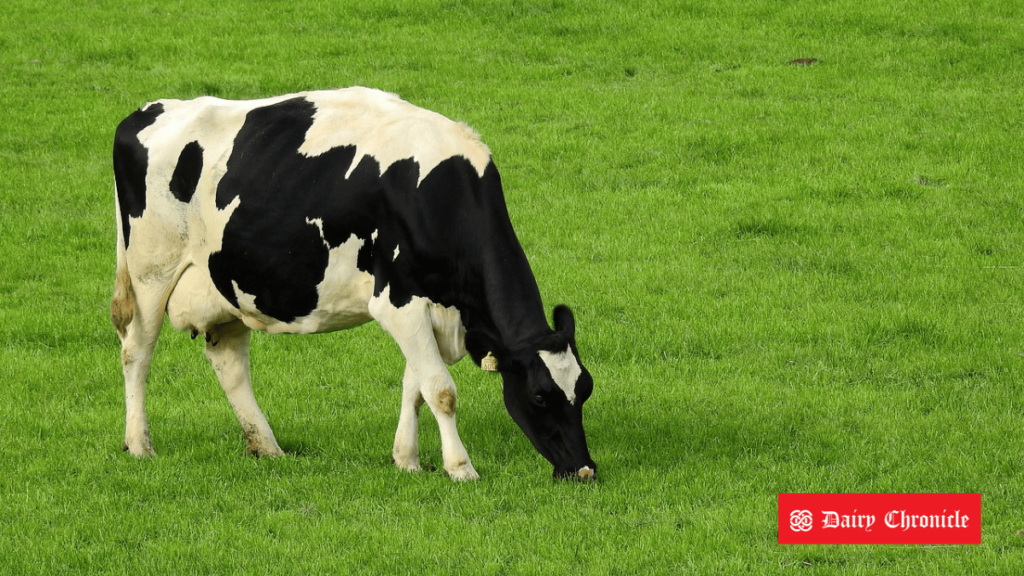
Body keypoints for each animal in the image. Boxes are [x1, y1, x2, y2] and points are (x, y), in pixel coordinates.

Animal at [109, 86, 598, 479]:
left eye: (586, 389)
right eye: (539, 396)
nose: (584, 469)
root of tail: (146, 111)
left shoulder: (425, 308)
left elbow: (416, 386)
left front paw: (407, 460)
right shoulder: (398, 301)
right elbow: (440, 391)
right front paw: (461, 468)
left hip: (226, 286)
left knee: (229, 363)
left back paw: (267, 447)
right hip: (151, 272)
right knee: (137, 352)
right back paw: (139, 445)